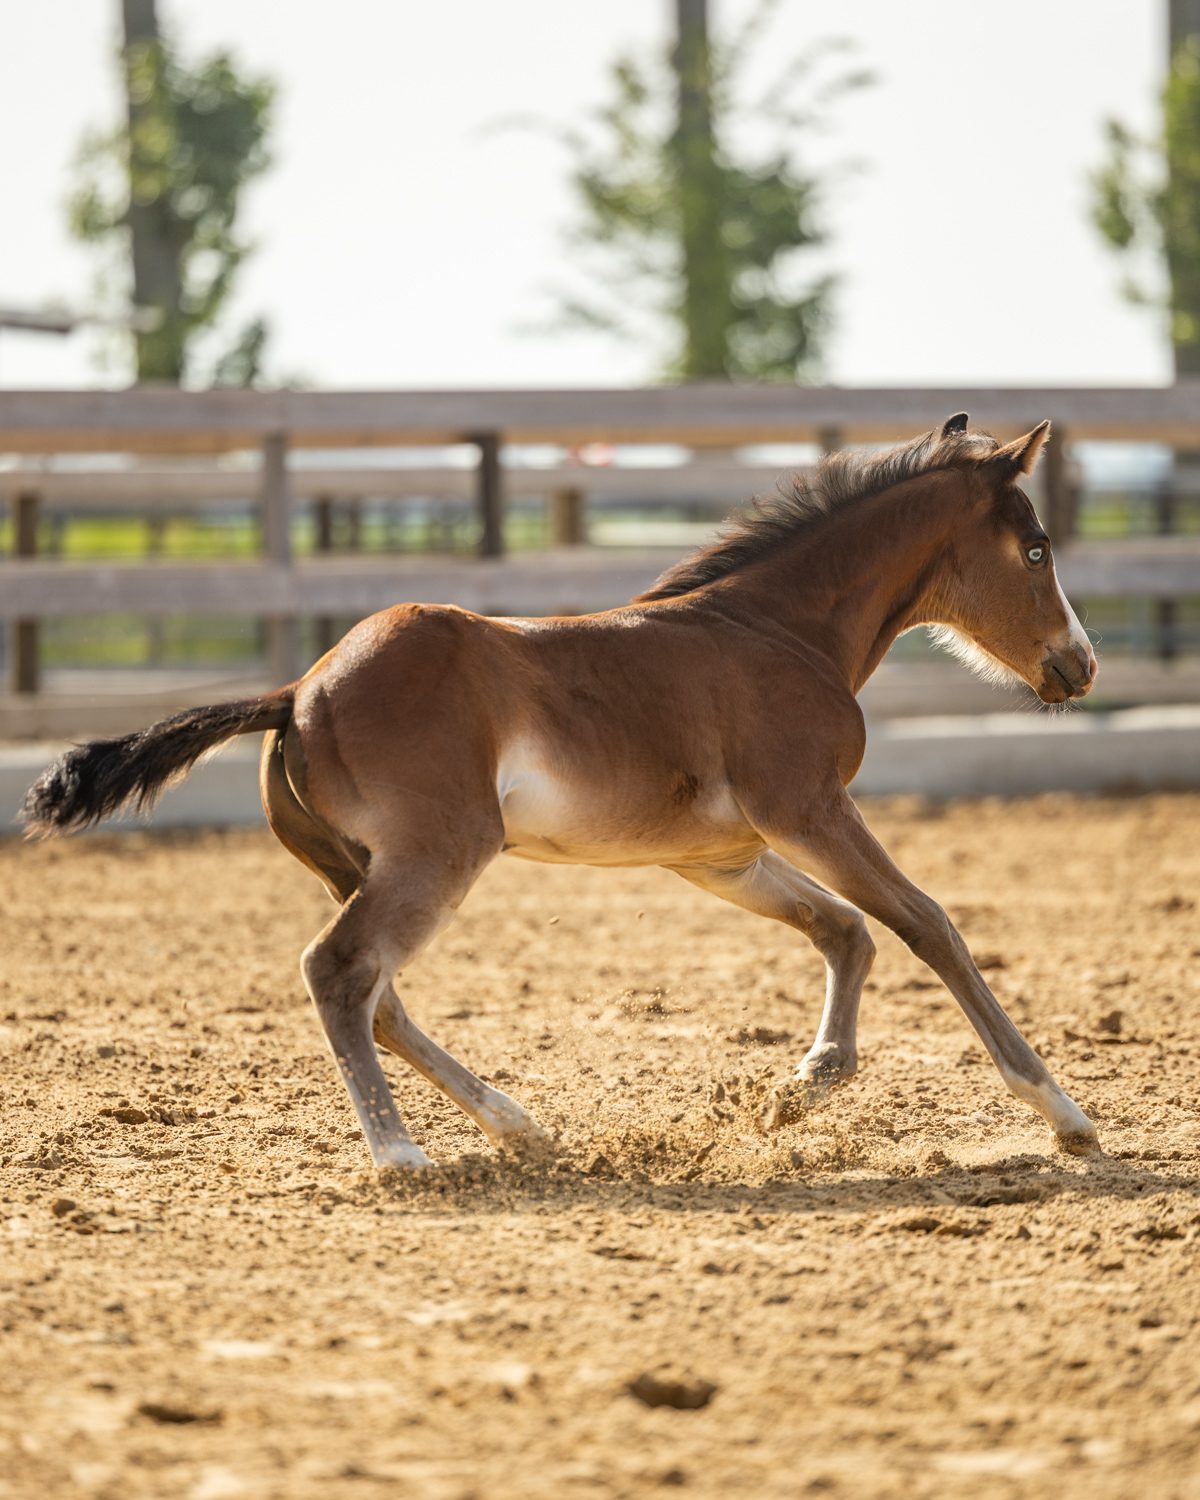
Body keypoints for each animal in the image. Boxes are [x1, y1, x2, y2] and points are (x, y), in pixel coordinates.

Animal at [21, 414, 1100, 1170]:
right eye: (1037, 549)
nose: (1079, 665)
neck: (777, 628)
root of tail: (297, 691)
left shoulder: (720, 854)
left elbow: (847, 931)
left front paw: (803, 1087)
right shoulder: (806, 808)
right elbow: (926, 924)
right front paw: (1063, 1113)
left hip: (361, 866)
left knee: (379, 995)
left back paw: (520, 1129)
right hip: (437, 856)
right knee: (340, 971)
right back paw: (400, 1153)